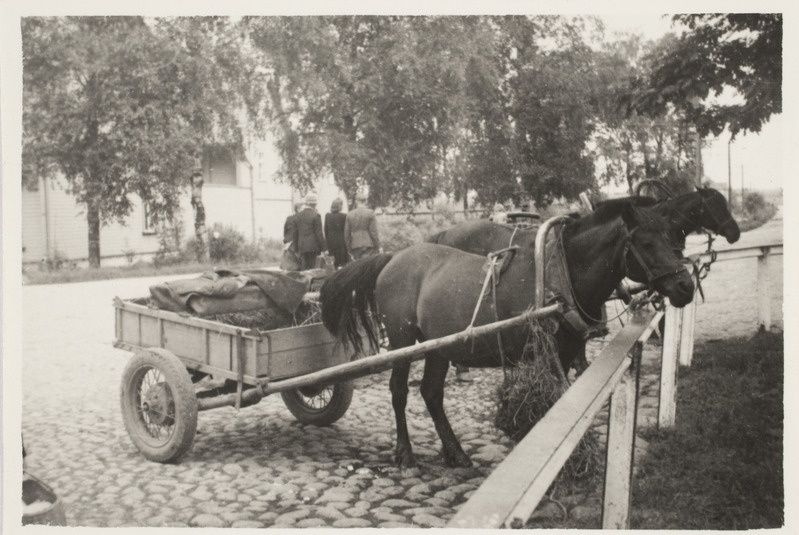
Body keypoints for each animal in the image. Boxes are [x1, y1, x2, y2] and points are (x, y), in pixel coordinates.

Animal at [318, 201, 692, 468]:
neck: (559, 275)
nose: (685, 286)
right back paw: (405, 453)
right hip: (402, 341)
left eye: (672, 237)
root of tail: (394, 257)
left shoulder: (565, 355)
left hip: (440, 347)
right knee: (399, 391)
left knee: (432, 393)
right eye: (646, 242)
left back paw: (455, 453)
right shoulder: (543, 357)